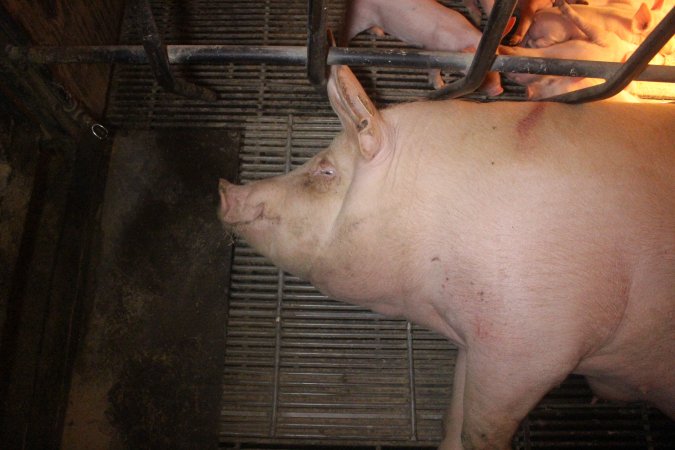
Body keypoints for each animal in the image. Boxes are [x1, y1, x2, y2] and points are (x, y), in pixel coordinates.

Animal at [219, 63, 672, 446]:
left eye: (325, 170)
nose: (226, 190)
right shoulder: (478, 342)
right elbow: (452, 418)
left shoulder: (535, 342)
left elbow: (480, 430)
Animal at [344, 0, 508, 94]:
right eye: (470, 67)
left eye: (495, 62)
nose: (499, 90)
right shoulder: (433, 50)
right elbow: (434, 70)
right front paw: (440, 86)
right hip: (358, 18)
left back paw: (380, 33)